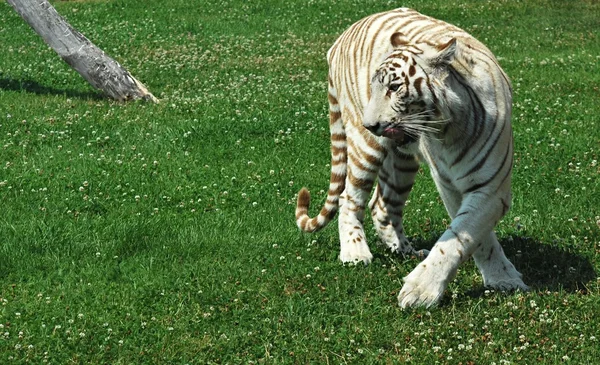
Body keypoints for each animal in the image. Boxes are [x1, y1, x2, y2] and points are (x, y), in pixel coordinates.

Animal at [294, 7, 524, 306]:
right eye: (375, 87)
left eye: (394, 88)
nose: (370, 125)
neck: (451, 128)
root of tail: (342, 36)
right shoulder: (450, 185)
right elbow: (462, 238)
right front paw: (421, 291)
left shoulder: (490, 188)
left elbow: (468, 234)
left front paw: (502, 279)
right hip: (365, 148)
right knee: (348, 197)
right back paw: (355, 253)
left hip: (401, 163)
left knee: (382, 204)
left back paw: (404, 249)